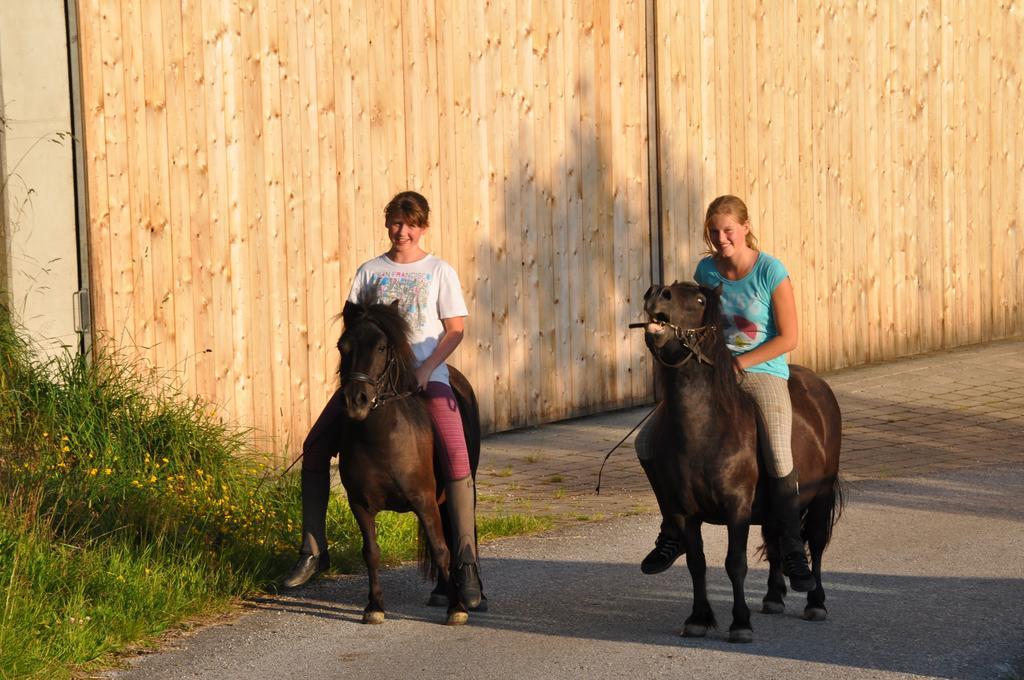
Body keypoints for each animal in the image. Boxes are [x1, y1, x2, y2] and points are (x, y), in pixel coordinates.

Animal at [335, 294, 479, 622]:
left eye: (381, 347)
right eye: (342, 346)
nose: (355, 401)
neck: (381, 440)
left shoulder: (424, 500)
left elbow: (441, 549)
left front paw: (457, 608)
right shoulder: (359, 504)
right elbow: (371, 553)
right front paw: (374, 607)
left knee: (462, 532)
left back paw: (473, 593)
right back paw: (441, 591)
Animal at [643, 280, 843, 643]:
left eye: (699, 300)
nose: (656, 293)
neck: (705, 430)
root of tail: (817, 384)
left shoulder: (736, 507)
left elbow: (735, 563)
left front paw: (740, 624)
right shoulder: (685, 511)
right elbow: (696, 563)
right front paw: (699, 618)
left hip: (820, 496)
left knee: (816, 544)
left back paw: (815, 600)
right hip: (771, 509)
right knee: (776, 541)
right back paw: (774, 597)